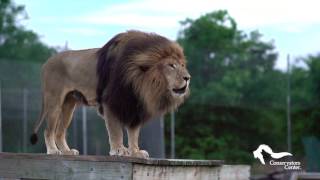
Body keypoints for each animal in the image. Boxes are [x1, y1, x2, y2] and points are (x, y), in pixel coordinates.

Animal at [29, 30, 190, 158]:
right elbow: (116, 131)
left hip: (69, 106)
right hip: (54, 102)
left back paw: (67, 152)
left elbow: (133, 134)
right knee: (48, 131)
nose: (188, 78)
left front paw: (135, 152)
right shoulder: (111, 102)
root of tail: (46, 63)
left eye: (182, 65)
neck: (140, 82)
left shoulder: (133, 105)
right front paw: (119, 150)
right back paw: (53, 151)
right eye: (171, 65)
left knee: (59, 132)